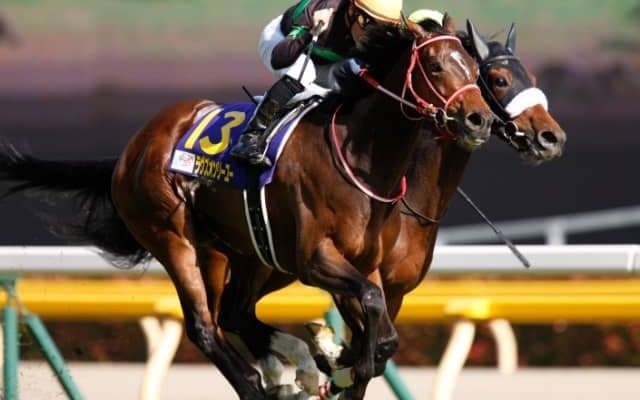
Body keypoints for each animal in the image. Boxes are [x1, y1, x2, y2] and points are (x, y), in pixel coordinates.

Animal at [0, 15, 493, 400]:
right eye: (434, 65)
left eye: (475, 69)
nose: (479, 119)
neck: (361, 160)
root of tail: (132, 148)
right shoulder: (315, 260)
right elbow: (370, 309)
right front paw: (336, 362)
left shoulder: (367, 264)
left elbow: (383, 334)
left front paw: (334, 358)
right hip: (175, 238)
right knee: (205, 326)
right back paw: (264, 380)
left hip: (243, 254)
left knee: (232, 315)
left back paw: (293, 366)